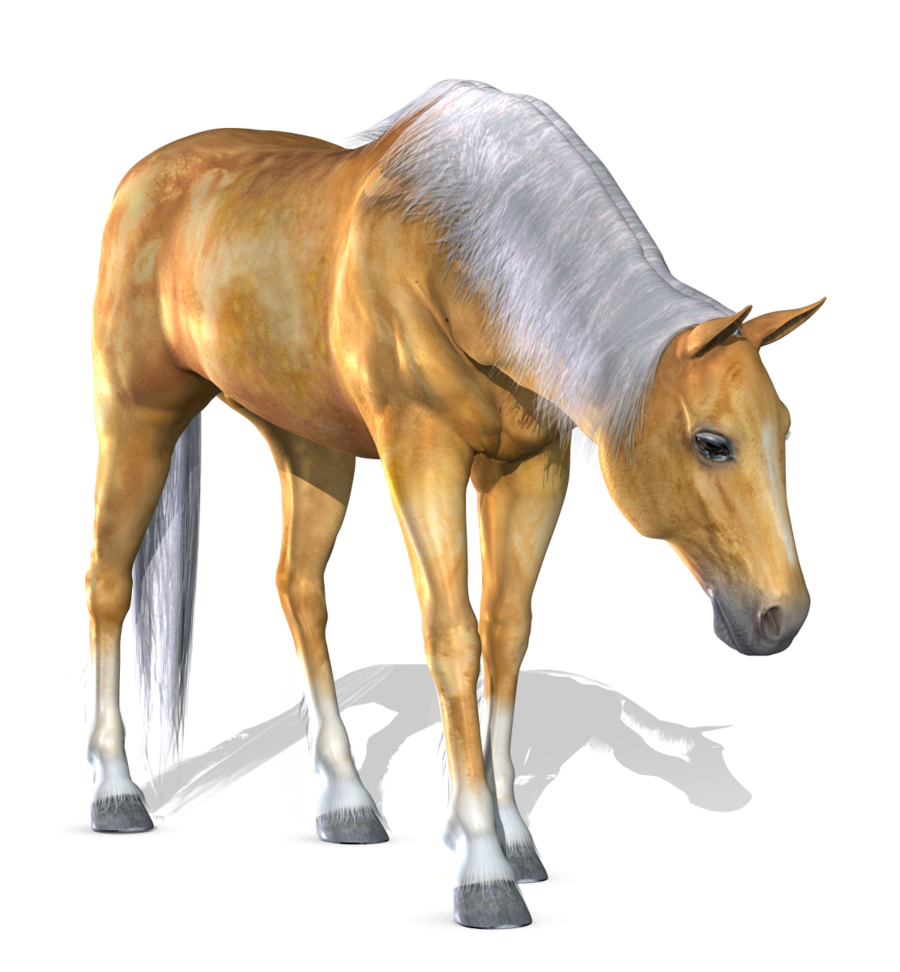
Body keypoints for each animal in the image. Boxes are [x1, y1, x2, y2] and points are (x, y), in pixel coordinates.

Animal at [78, 77, 821, 929]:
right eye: (711, 443)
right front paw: (482, 872)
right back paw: (111, 793)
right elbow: (453, 636)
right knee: (108, 582)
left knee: (299, 587)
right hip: (138, 419)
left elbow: (505, 635)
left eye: (786, 434)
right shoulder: (422, 452)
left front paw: (513, 839)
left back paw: (342, 803)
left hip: (311, 449)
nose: (781, 617)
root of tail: (145, 175)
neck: (466, 255)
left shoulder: (529, 471)